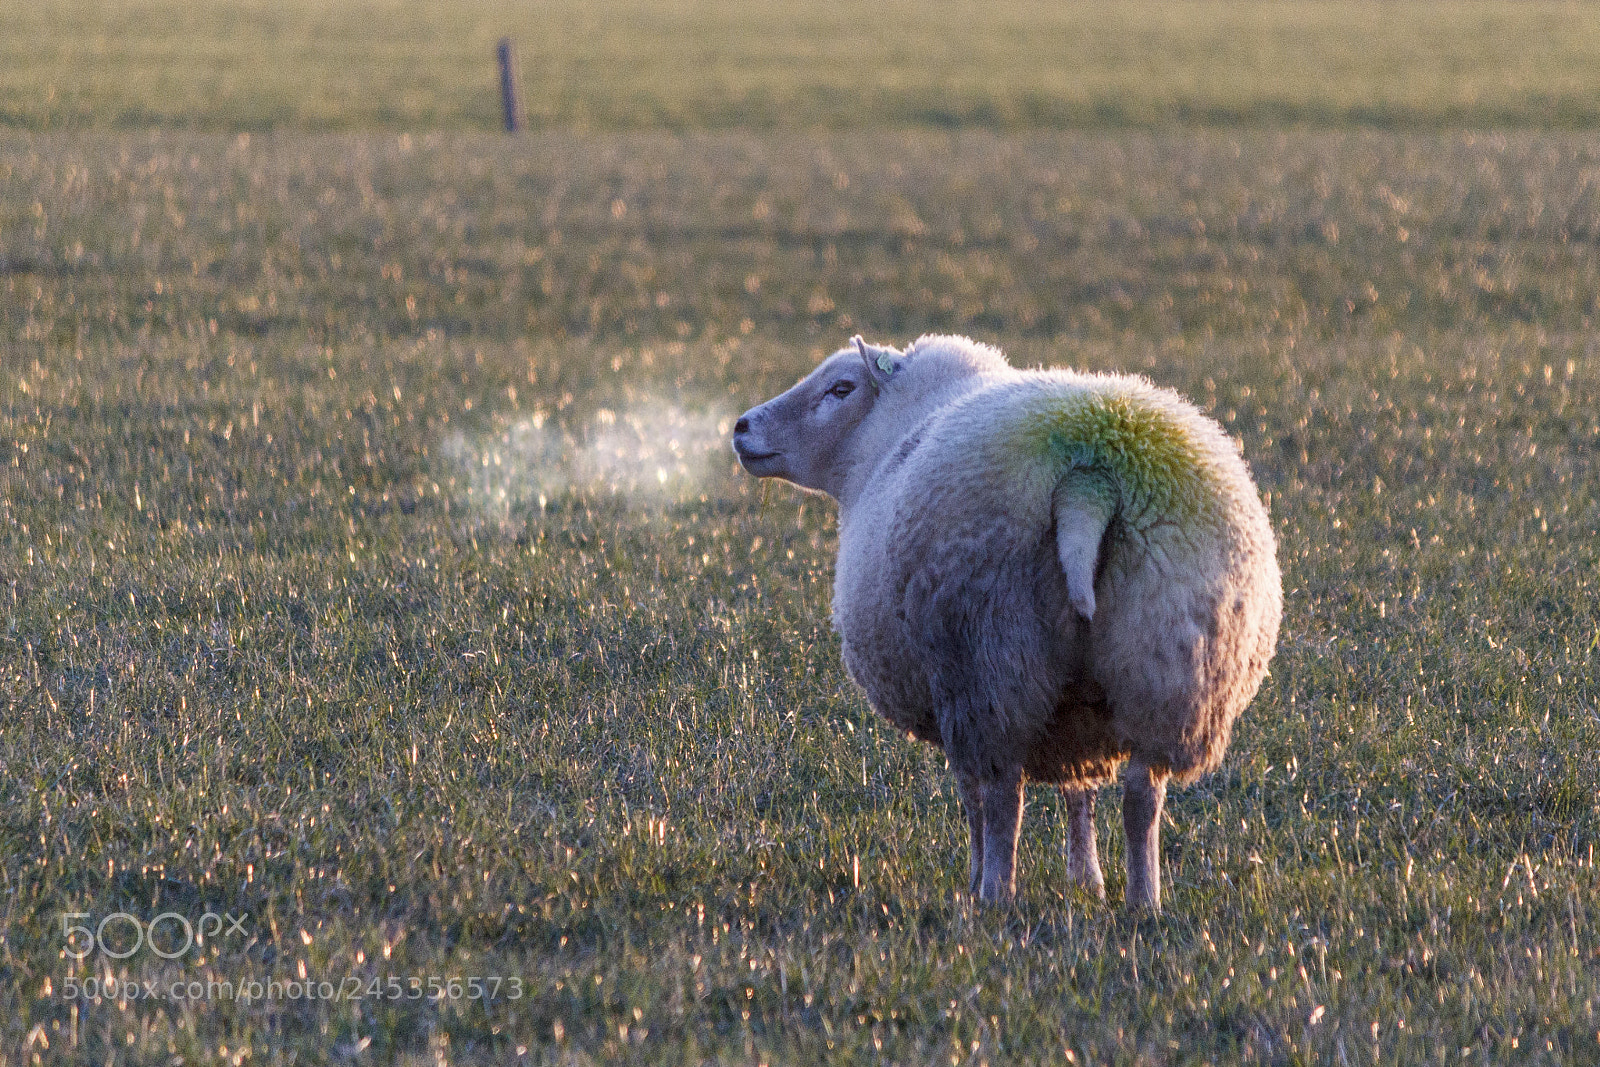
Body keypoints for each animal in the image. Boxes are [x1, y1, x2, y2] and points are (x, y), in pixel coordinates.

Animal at [732, 334, 1281, 911]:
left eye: (841, 387)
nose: (742, 426)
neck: (886, 436)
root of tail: (1087, 481)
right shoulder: (1075, 709)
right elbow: (1079, 789)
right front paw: (1086, 878)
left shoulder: (954, 694)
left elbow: (975, 796)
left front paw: (984, 876)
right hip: (1169, 665)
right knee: (1142, 794)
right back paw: (1142, 901)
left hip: (988, 656)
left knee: (1000, 796)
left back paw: (993, 892)